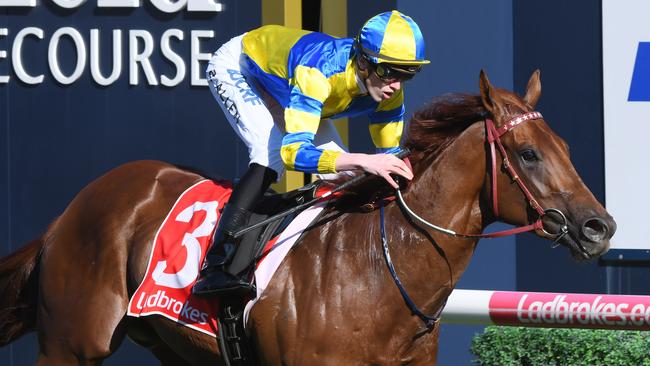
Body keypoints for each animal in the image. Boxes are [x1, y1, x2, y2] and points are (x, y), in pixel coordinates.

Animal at [1, 70, 612, 364]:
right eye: (528, 153)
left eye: (563, 147)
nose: (599, 227)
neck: (378, 274)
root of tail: (73, 208)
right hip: (70, 346)